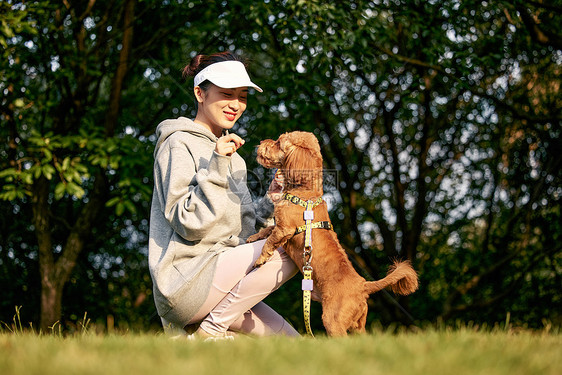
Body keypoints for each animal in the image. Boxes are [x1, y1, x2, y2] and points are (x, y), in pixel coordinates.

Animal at [247, 131, 418, 338]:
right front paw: (252, 237)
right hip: (358, 326)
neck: (305, 192)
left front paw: (260, 259)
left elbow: (270, 241)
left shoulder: (284, 228)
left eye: (279, 142)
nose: (262, 142)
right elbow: (266, 230)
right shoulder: (279, 225)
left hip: (333, 320)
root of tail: (363, 285)